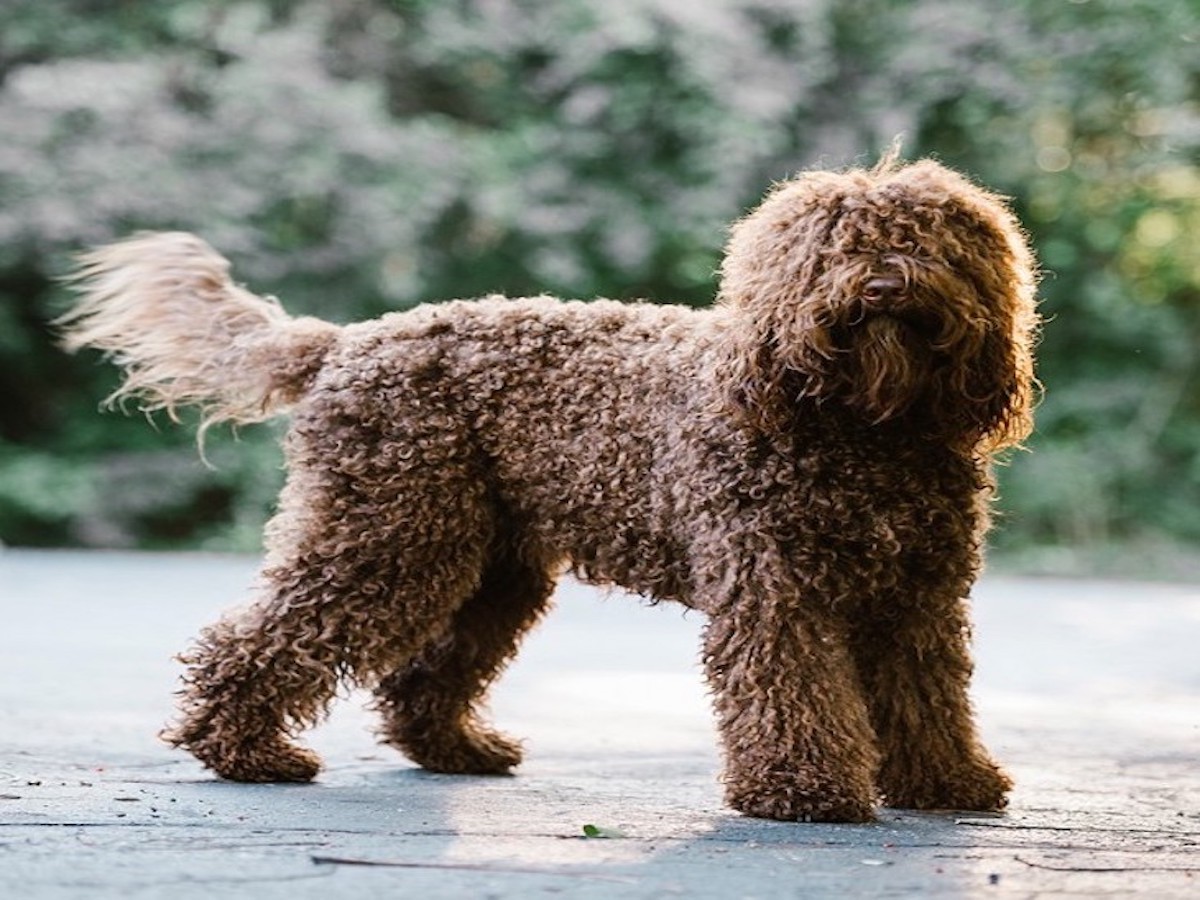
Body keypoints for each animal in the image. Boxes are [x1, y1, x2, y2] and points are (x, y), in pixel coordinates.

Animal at [60, 157, 1041, 825]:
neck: (863, 428)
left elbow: (929, 697)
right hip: (386, 534)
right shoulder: (775, 591)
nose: (881, 284)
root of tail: (348, 342)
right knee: (259, 639)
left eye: (924, 243)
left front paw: (948, 781)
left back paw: (457, 750)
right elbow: (791, 691)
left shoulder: (917, 598)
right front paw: (802, 790)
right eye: (831, 247)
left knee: (423, 676)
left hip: (484, 564)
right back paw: (244, 750)